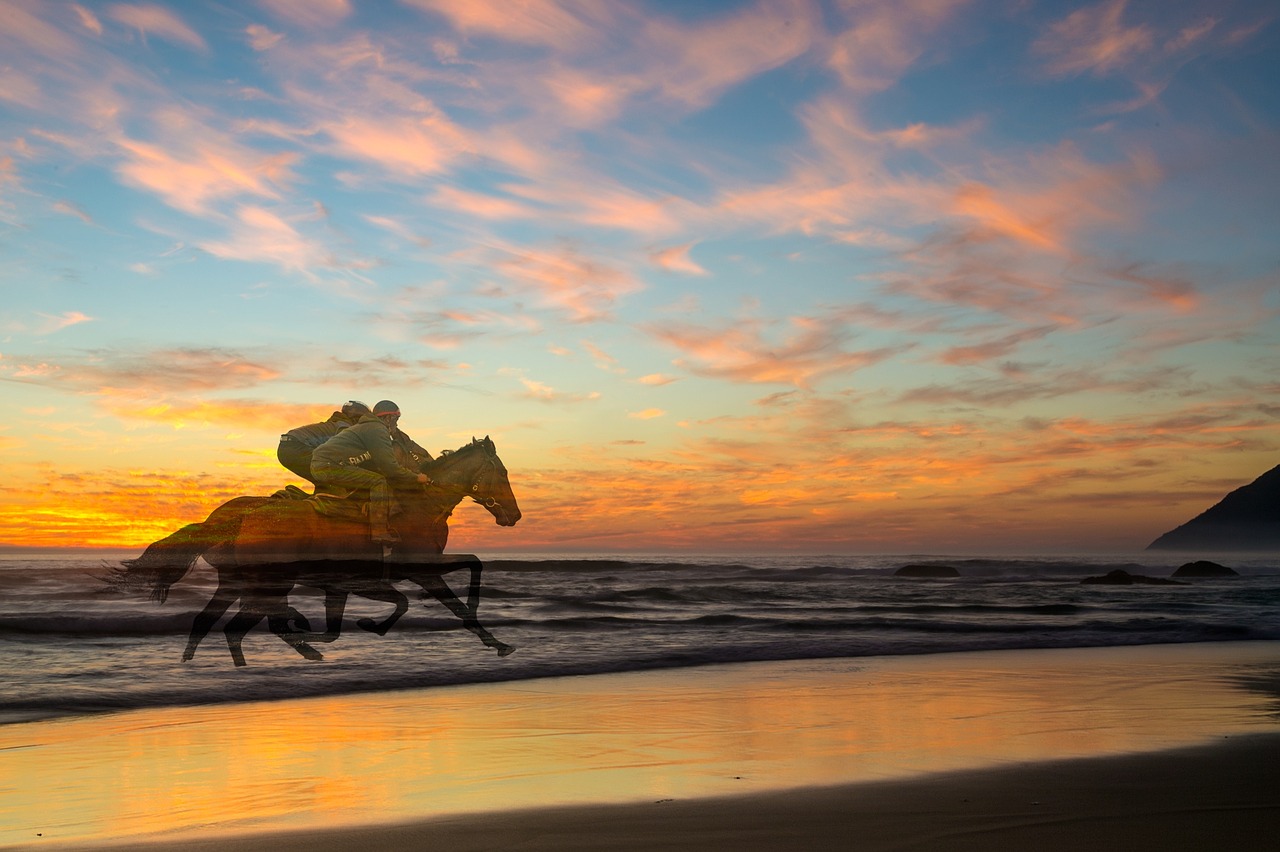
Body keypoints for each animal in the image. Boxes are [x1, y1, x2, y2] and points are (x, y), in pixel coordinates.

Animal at [113, 437, 519, 665]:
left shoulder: (366, 580)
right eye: (502, 472)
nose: (513, 515)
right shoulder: (422, 570)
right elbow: (458, 602)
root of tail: (238, 518)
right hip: (270, 583)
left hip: (236, 583)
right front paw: (497, 642)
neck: (420, 504)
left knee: (211, 623)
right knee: (248, 624)